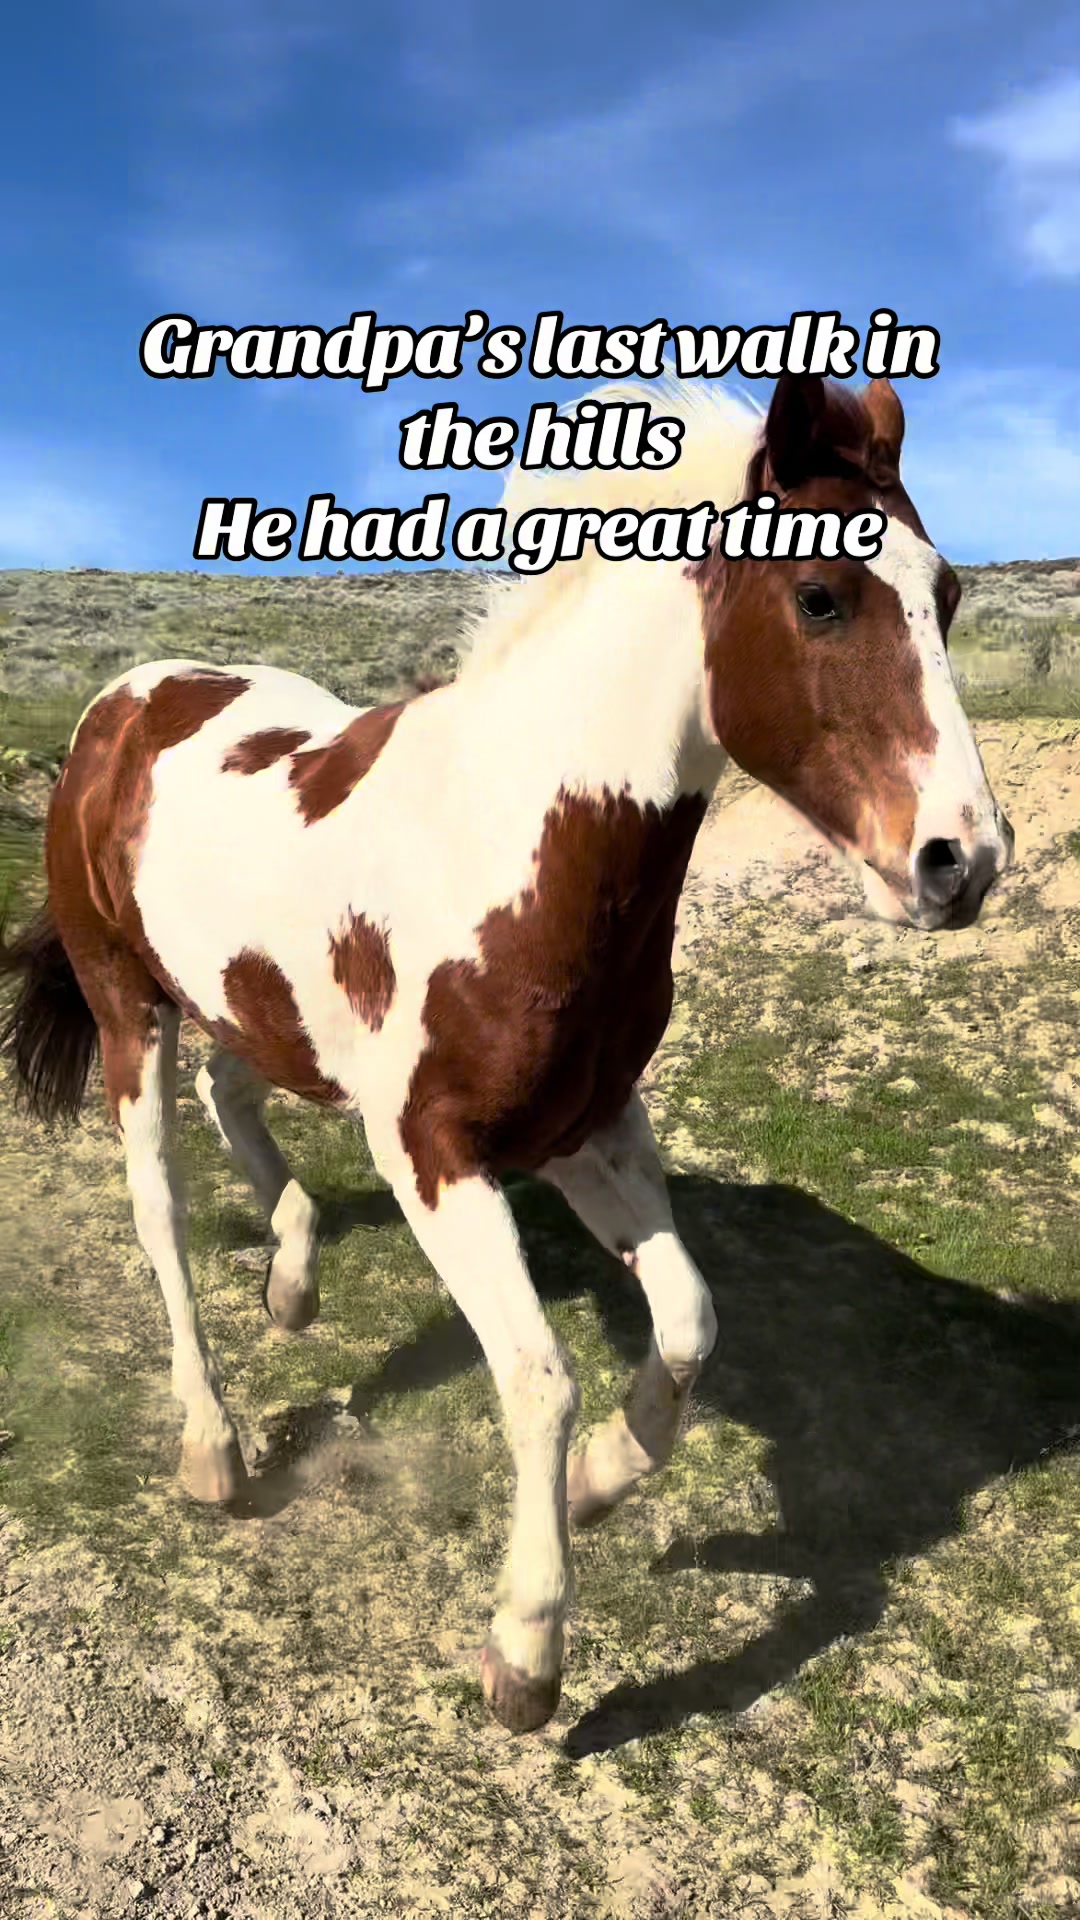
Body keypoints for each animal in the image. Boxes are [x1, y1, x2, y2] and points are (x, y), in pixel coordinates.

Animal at [0, 370, 1014, 1735]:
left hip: (248, 1000)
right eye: (820, 596)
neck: (516, 842)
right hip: (128, 1009)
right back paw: (213, 1447)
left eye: (946, 594)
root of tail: (127, 700)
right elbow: (540, 1379)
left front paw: (601, 1483)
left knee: (235, 1091)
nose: (962, 862)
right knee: (160, 1208)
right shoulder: (436, 1154)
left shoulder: (590, 1127)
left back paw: (294, 1279)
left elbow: (689, 1323)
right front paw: (528, 1652)